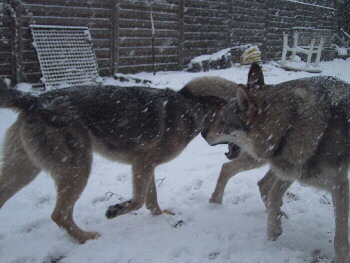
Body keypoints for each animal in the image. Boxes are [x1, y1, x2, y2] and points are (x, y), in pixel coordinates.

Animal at [0, 77, 238, 244]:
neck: (193, 111)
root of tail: (33, 101)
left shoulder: (147, 166)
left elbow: (151, 199)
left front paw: (160, 216)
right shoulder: (142, 163)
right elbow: (139, 200)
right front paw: (115, 211)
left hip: (23, 173)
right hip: (77, 169)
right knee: (59, 215)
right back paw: (85, 238)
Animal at [201, 64, 350, 263]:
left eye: (223, 121)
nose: (202, 133)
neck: (290, 125)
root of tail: (265, 85)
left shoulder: (337, 184)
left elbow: (340, 233)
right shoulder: (294, 170)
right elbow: (273, 195)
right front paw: (274, 228)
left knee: (261, 183)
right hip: (264, 163)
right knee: (236, 172)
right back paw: (217, 201)